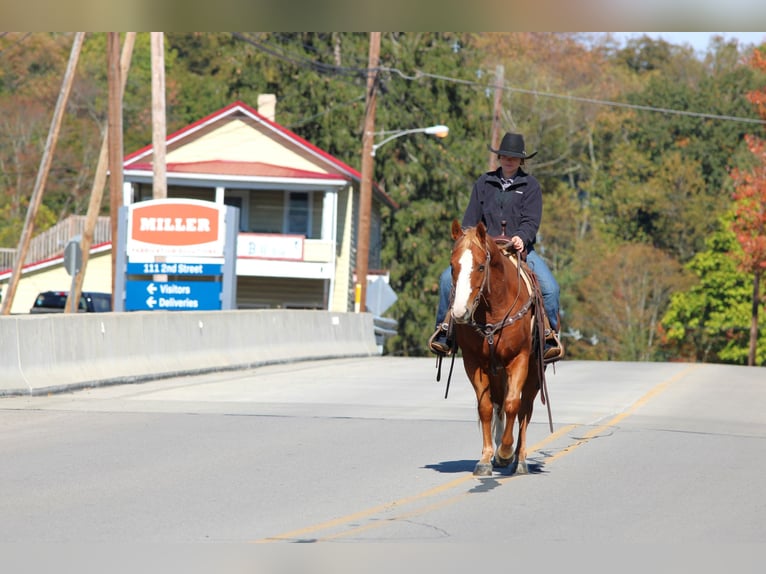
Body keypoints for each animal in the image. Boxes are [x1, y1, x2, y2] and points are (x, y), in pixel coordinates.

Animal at [447, 219, 550, 476]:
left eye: (481, 267)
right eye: (452, 266)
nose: (460, 312)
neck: (494, 309)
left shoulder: (519, 359)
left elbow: (514, 404)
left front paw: (505, 451)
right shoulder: (474, 362)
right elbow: (485, 407)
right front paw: (486, 458)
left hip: (534, 372)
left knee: (525, 409)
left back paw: (519, 459)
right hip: (497, 372)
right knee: (498, 405)